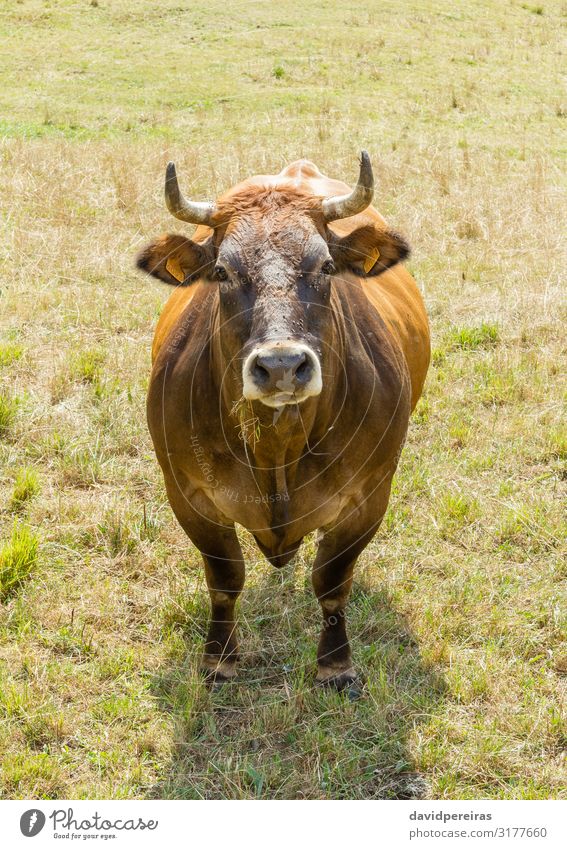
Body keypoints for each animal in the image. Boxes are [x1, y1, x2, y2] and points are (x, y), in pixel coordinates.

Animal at [138, 154, 430, 688]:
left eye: (327, 265)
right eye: (222, 271)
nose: (280, 366)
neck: (278, 448)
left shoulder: (369, 496)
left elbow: (332, 581)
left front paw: (335, 665)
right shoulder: (187, 494)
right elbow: (225, 578)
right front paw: (219, 660)